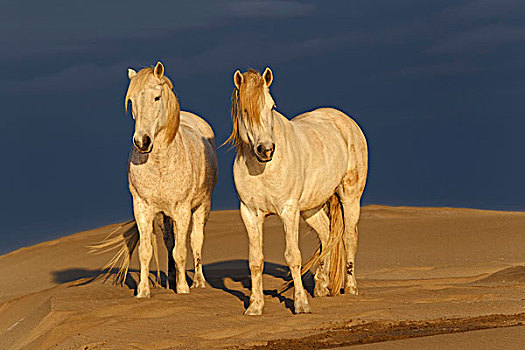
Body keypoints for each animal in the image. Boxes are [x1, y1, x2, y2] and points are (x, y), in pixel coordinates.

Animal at [98, 61, 217, 296]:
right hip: (165, 216)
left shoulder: (182, 210)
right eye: (132, 101)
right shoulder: (142, 208)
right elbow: (146, 251)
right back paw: (171, 278)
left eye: (156, 97)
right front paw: (143, 291)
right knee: (169, 241)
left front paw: (182, 289)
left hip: (201, 207)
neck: (161, 164)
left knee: (195, 240)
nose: (142, 142)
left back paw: (198, 282)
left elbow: (181, 251)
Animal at [226, 67, 368, 314]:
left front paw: (301, 304)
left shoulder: (288, 211)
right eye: (245, 110)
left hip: (350, 196)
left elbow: (293, 256)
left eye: (271, 106)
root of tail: (345, 121)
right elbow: (255, 260)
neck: (263, 168)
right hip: (312, 207)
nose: (266, 150)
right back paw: (321, 287)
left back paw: (350, 287)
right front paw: (255, 306)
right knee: (326, 234)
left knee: (349, 237)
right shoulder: (250, 214)